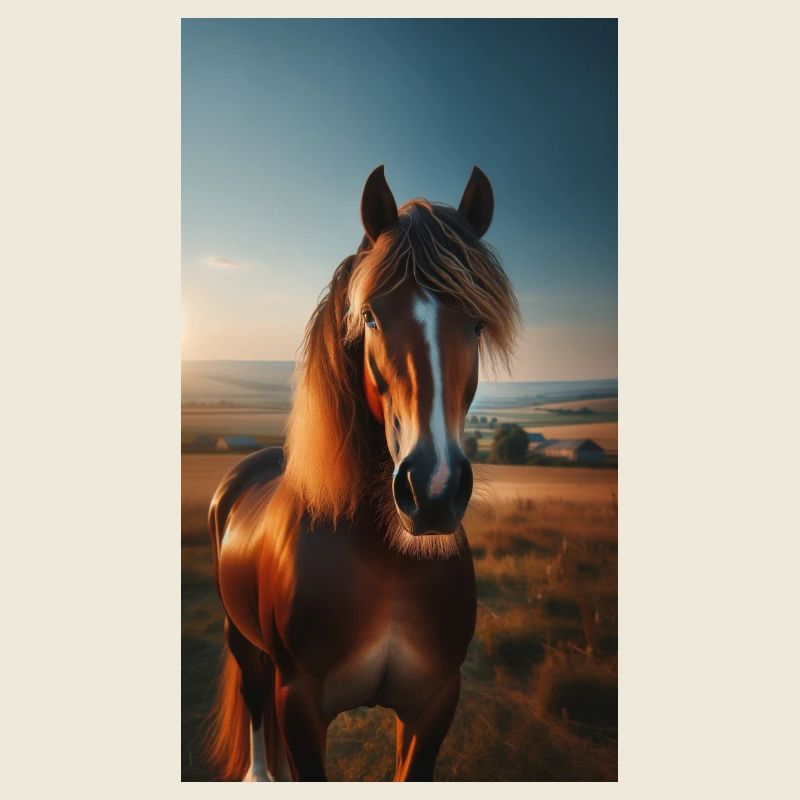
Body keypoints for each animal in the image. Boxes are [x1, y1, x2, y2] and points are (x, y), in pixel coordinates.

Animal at [204, 165, 520, 781]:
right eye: (370, 315)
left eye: (476, 323)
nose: (432, 491)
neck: (389, 560)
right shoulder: (299, 705)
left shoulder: (434, 704)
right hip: (240, 641)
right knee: (255, 710)